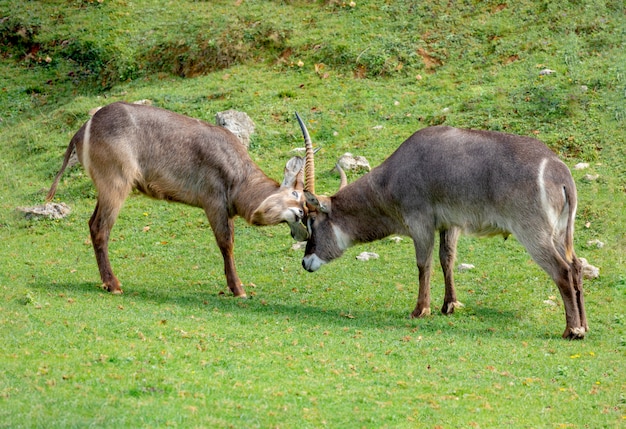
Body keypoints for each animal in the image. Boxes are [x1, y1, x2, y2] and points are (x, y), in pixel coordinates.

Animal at [46, 103, 308, 298]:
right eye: (297, 195)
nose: (302, 217)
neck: (239, 175)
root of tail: (84, 128)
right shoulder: (213, 204)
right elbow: (226, 243)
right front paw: (238, 289)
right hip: (116, 185)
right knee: (101, 228)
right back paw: (114, 284)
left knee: (92, 224)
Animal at [298, 119, 584, 338]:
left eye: (311, 222)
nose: (304, 262)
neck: (393, 174)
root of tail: (558, 170)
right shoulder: (450, 224)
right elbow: (447, 259)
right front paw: (449, 305)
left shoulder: (420, 222)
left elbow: (423, 264)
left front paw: (420, 310)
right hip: (559, 233)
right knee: (576, 266)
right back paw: (584, 326)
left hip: (534, 233)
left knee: (562, 270)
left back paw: (572, 330)